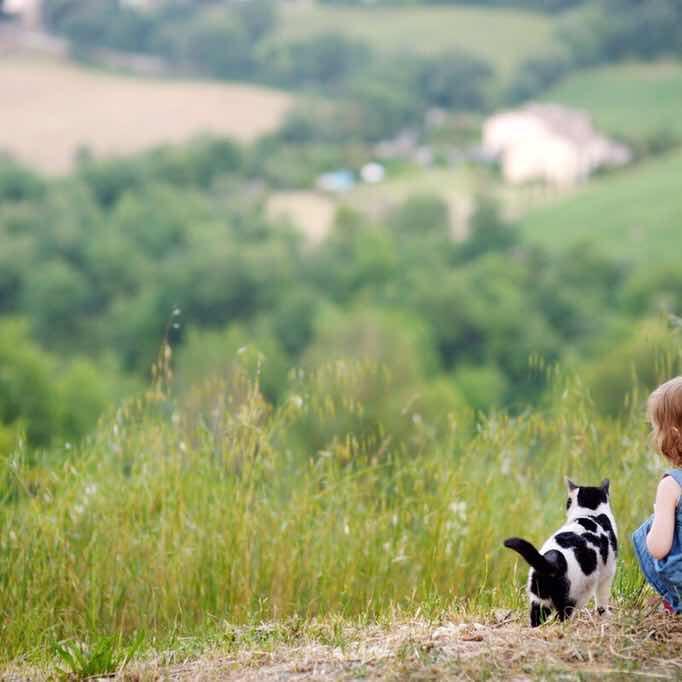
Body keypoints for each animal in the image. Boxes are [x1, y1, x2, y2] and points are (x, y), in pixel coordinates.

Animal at [500, 476, 616, 624]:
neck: (590, 513)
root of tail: (551, 560)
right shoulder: (608, 573)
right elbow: (602, 600)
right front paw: (604, 615)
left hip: (539, 600)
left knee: (537, 618)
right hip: (573, 598)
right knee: (562, 617)